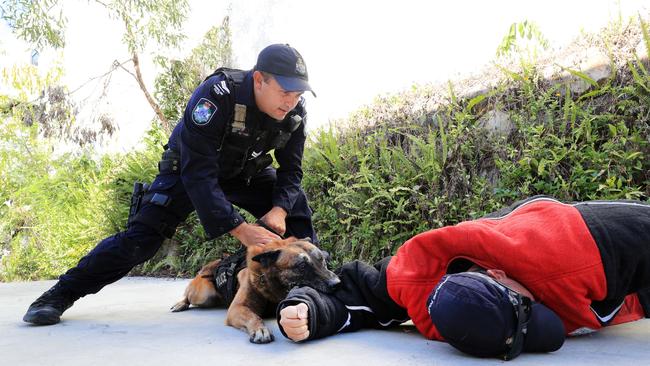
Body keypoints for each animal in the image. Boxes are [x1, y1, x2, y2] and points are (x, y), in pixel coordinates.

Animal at [170, 237, 340, 344]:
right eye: (301, 266)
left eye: (322, 260)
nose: (337, 283)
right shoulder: (237, 308)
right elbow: (253, 316)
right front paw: (260, 330)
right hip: (203, 295)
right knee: (188, 295)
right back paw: (180, 304)